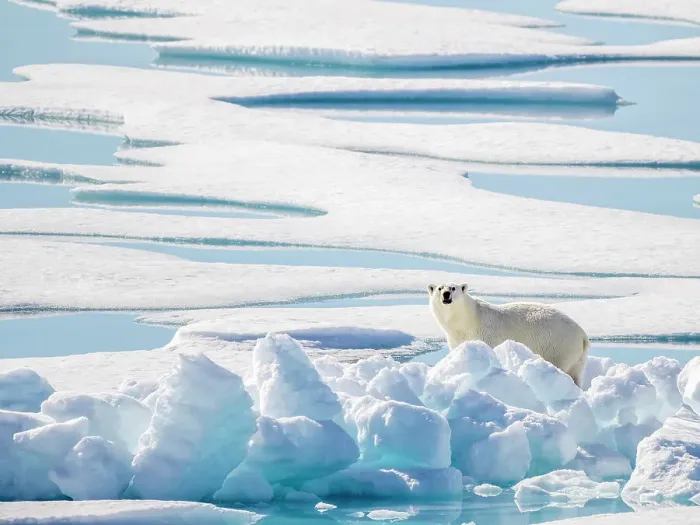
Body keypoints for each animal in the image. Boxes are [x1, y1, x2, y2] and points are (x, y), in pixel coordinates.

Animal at [427, 282, 589, 388]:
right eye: (439, 288)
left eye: (453, 288)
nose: (446, 294)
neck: (468, 319)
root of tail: (583, 335)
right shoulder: (456, 338)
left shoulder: (486, 333)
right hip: (577, 356)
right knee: (576, 374)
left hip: (558, 345)